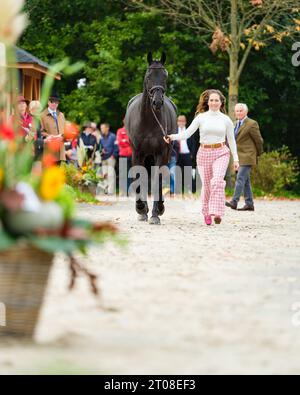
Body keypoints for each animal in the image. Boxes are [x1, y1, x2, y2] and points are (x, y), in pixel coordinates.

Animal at [125, 53, 177, 226]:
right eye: (148, 76)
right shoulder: (137, 153)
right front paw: (141, 209)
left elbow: (157, 181)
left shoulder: (161, 153)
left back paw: (158, 208)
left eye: (165, 76)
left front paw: (155, 213)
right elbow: (139, 178)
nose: (157, 101)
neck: (148, 120)